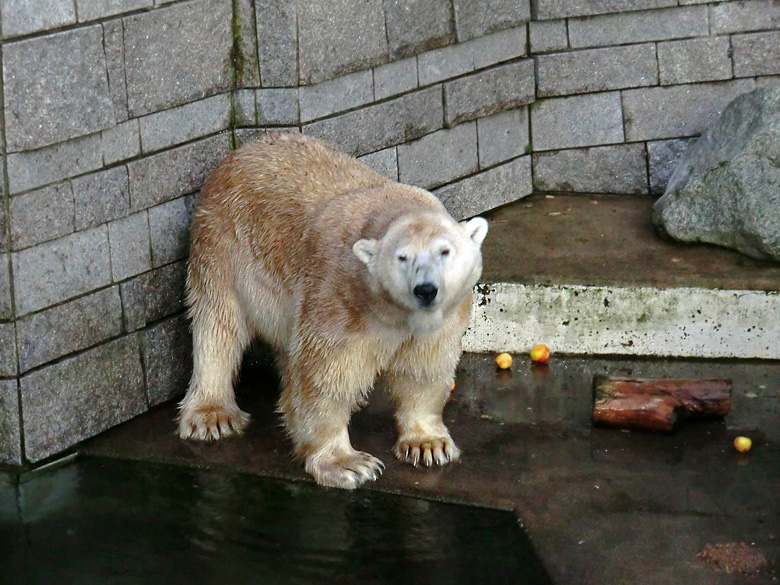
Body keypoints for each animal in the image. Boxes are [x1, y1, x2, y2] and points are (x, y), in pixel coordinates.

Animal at [181, 132, 488, 488]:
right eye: (402, 257)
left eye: (444, 251)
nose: (425, 290)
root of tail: (239, 151)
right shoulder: (340, 296)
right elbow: (324, 373)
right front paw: (347, 463)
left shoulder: (443, 317)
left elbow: (424, 367)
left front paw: (428, 444)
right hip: (221, 244)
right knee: (219, 324)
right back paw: (211, 415)